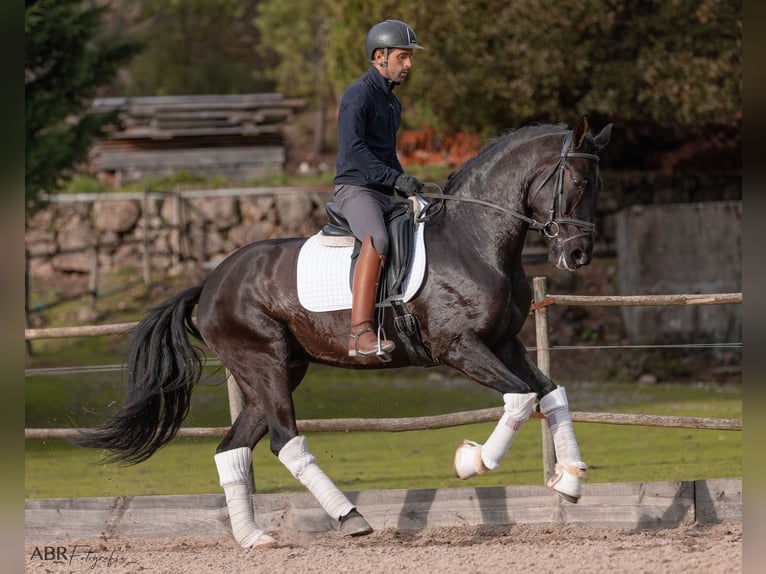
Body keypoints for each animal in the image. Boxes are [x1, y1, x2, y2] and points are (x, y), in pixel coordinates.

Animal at [76, 116, 612, 548]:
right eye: (578, 180)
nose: (580, 254)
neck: (474, 239)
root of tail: (208, 285)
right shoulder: (459, 348)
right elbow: (521, 398)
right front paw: (472, 462)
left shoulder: (504, 342)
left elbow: (551, 392)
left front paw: (569, 481)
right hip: (264, 364)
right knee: (285, 441)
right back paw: (352, 519)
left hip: (277, 371)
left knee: (233, 449)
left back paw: (253, 538)